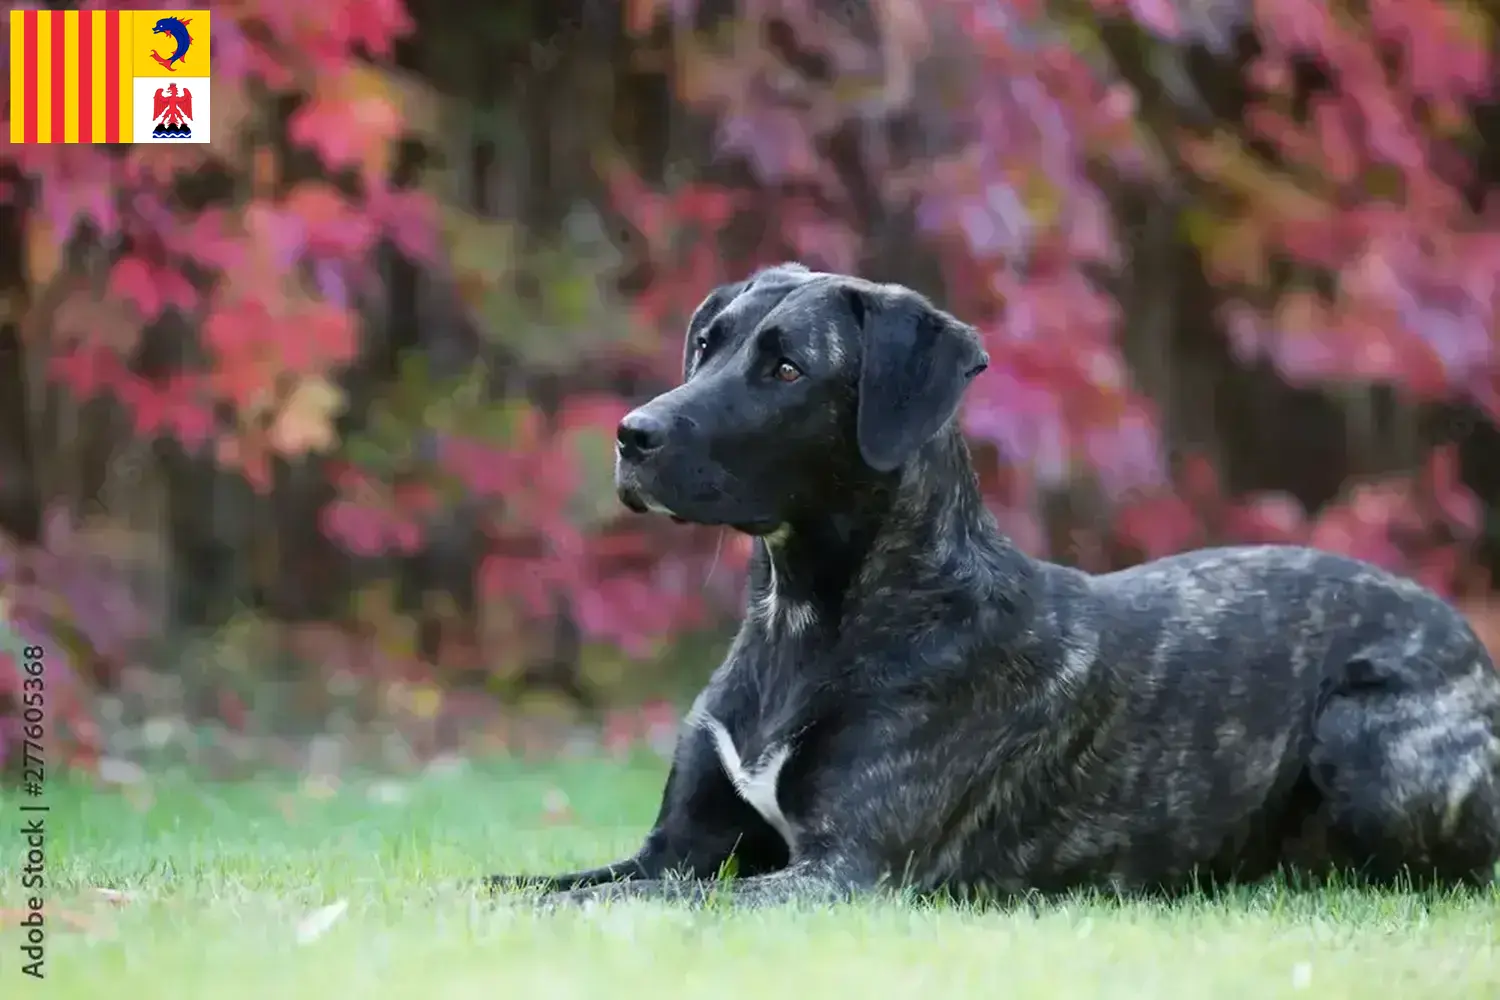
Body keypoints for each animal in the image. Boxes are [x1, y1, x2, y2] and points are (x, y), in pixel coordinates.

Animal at [486, 263, 1494, 905]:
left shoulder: (841, 871)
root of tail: (1469, 645)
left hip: (1365, 737)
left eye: (787, 367)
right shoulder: (677, 851)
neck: (803, 620)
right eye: (707, 343)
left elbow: (606, 906)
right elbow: (519, 885)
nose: (632, 434)